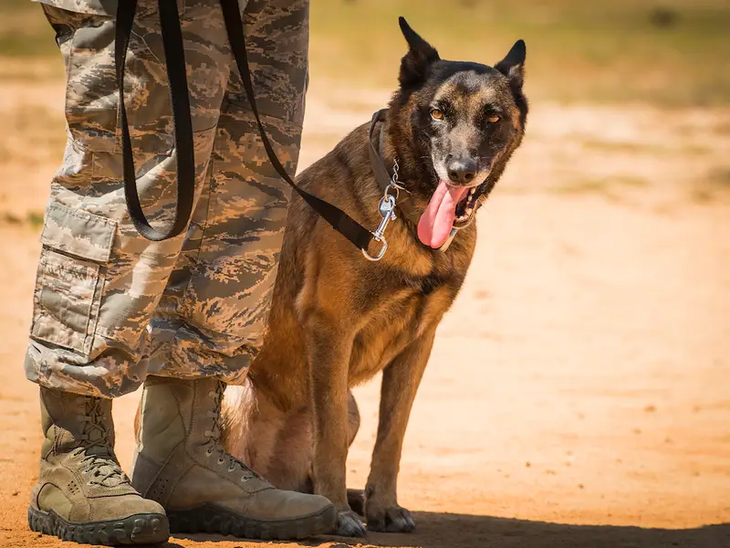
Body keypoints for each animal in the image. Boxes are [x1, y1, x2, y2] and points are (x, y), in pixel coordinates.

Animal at [223, 16, 528, 536]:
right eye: (438, 113)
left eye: (492, 118)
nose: (461, 171)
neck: (407, 211)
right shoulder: (330, 329)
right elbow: (327, 442)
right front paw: (338, 515)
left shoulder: (419, 343)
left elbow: (394, 436)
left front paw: (383, 504)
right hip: (236, 394)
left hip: (351, 409)